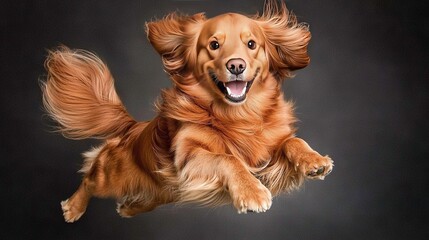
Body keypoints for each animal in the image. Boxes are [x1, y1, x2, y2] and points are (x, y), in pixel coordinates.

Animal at [41, 0, 332, 223]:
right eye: (214, 45)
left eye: (251, 44)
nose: (236, 65)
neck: (237, 117)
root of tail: (133, 127)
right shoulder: (188, 159)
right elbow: (228, 159)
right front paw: (251, 192)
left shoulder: (269, 156)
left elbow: (293, 141)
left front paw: (314, 160)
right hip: (113, 176)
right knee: (90, 178)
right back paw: (73, 208)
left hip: (164, 190)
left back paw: (129, 207)